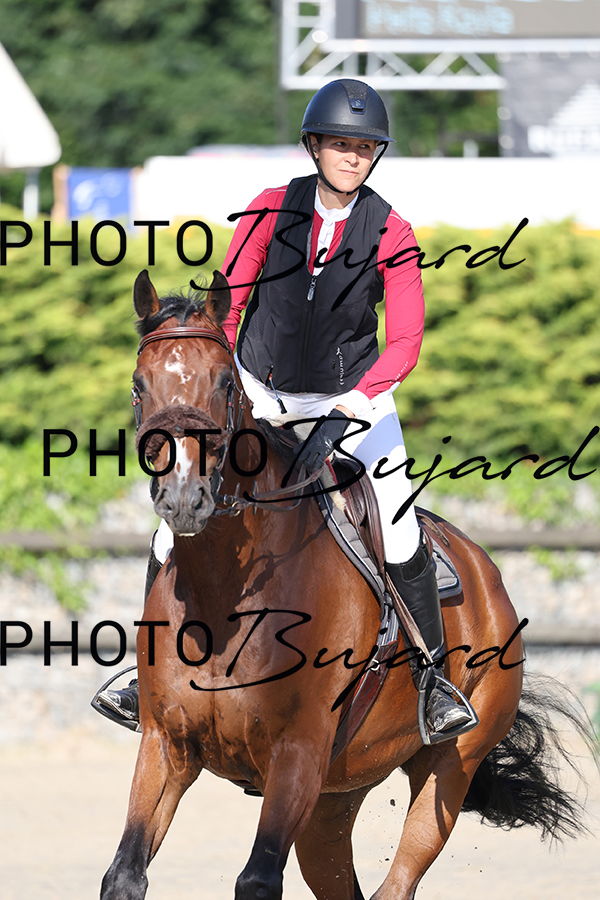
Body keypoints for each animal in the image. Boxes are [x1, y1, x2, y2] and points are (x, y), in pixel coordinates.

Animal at [101, 269, 588, 900]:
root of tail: (487, 573)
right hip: (337, 795)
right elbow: (124, 874)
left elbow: (257, 880)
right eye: (140, 388)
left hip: (447, 769)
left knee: (399, 878)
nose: (184, 499)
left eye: (226, 385)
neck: (225, 593)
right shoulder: (167, 744)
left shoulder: (298, 753)